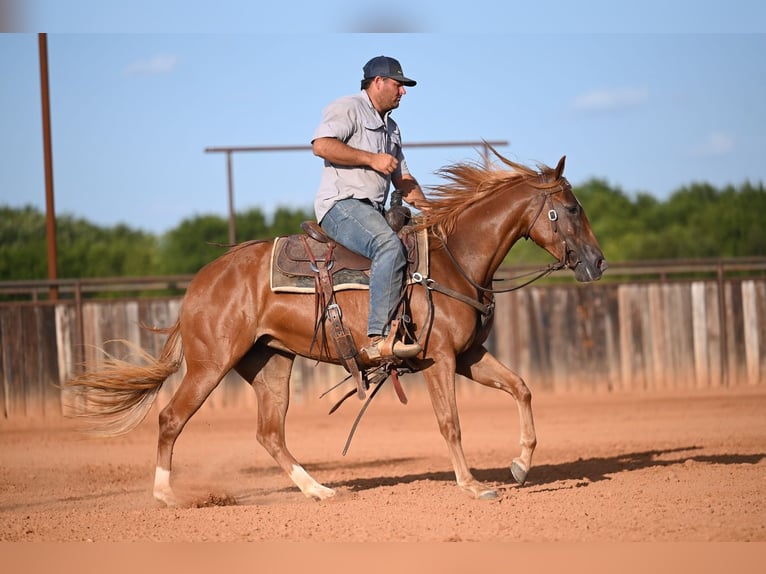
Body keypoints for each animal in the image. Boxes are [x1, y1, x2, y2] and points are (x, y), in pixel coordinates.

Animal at [66, 146, 606, 505]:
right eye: (571, 209)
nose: (598, 262)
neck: (454, 260)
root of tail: (199, 285)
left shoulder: (469, 356)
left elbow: (521, 388)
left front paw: (520, 465)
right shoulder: (440, 359)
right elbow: (450, 422)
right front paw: (473, 485)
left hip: (271, 363)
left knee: (269, 433)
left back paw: (318, 489)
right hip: (210, 364)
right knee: (171, 419)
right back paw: (167, 496)